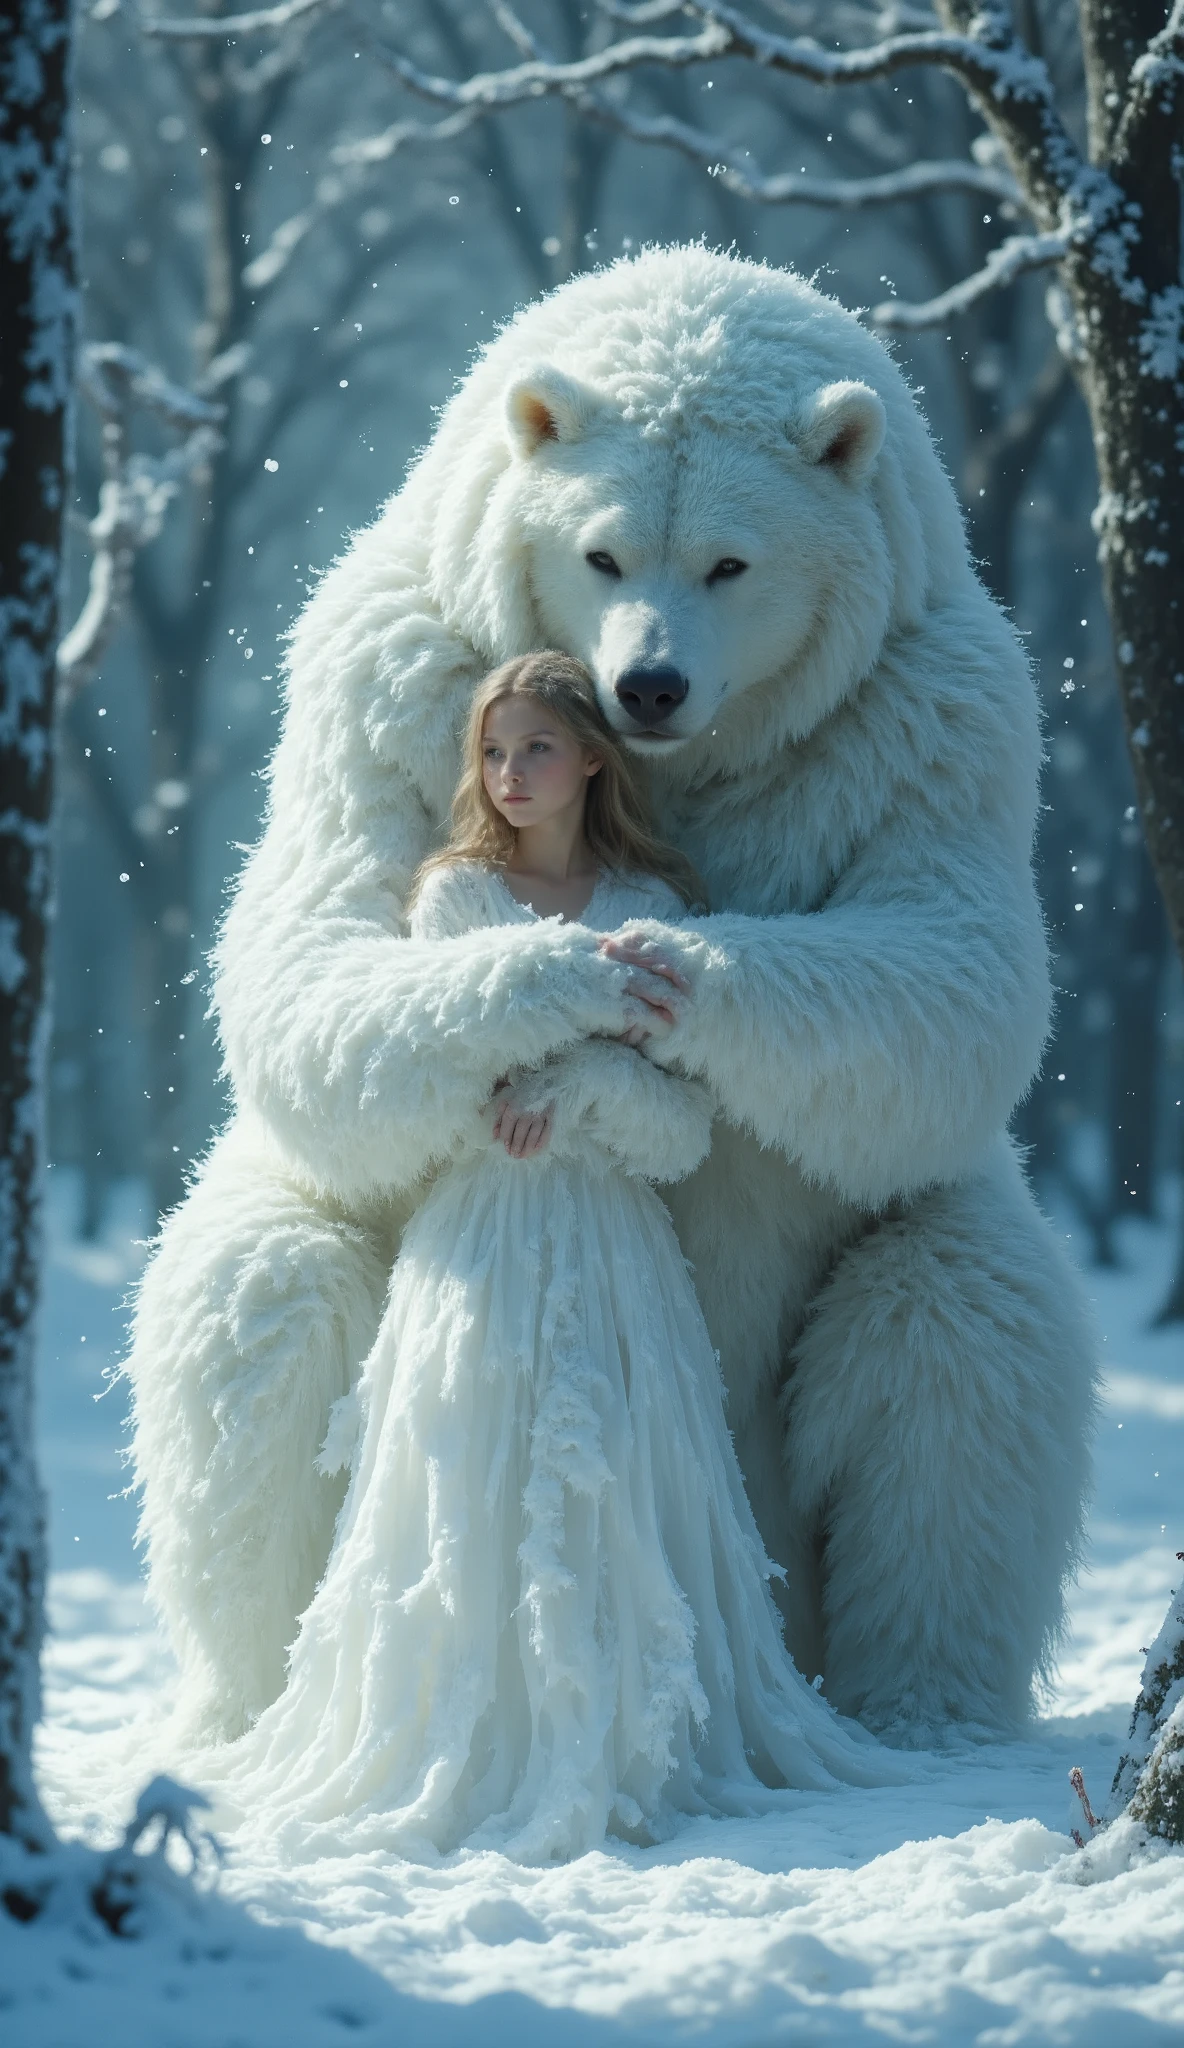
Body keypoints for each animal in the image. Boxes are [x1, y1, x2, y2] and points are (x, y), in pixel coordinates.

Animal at [121, 239, 1097, 1744]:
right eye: (600, 550)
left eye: (730, 559)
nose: (646, 683)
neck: (678, 769)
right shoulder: (391, 680)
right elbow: (306, 955)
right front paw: (555, 968)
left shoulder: (927, 716)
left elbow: (956, 976)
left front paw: (670, 966)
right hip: (304, 1255)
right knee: (256, 1316)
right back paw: (257, 1688)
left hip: (870, 1298)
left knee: (956, 1346)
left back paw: (914, 1703)